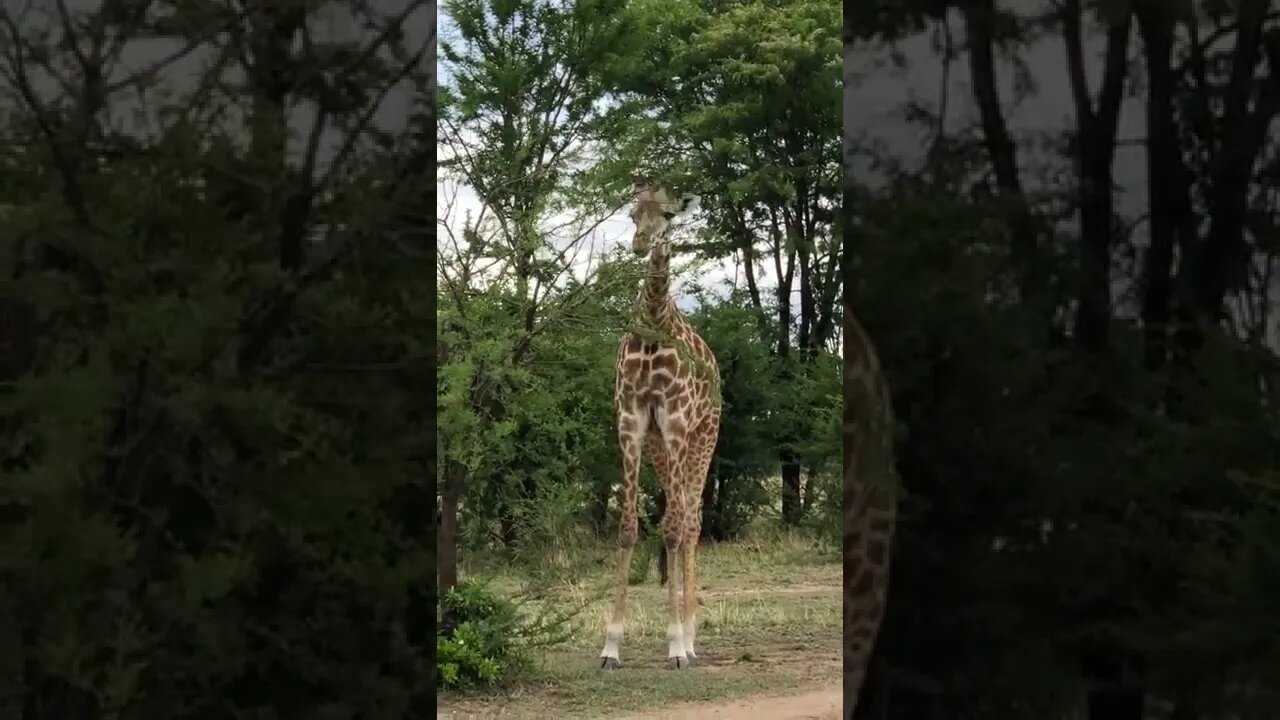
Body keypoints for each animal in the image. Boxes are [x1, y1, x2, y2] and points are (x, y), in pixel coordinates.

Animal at [599, 178, 721, 666]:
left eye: (667, 216)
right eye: (634, 214)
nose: (640, 244)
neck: (655, 319)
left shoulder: (675, 420)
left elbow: (670, 529)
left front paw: (675, 646)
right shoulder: (632, 422)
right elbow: (628, 528)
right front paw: (611, 647)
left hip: (702, 437)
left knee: (690, 522)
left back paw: (690, 637)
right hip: (662, 449)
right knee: (685, 516)